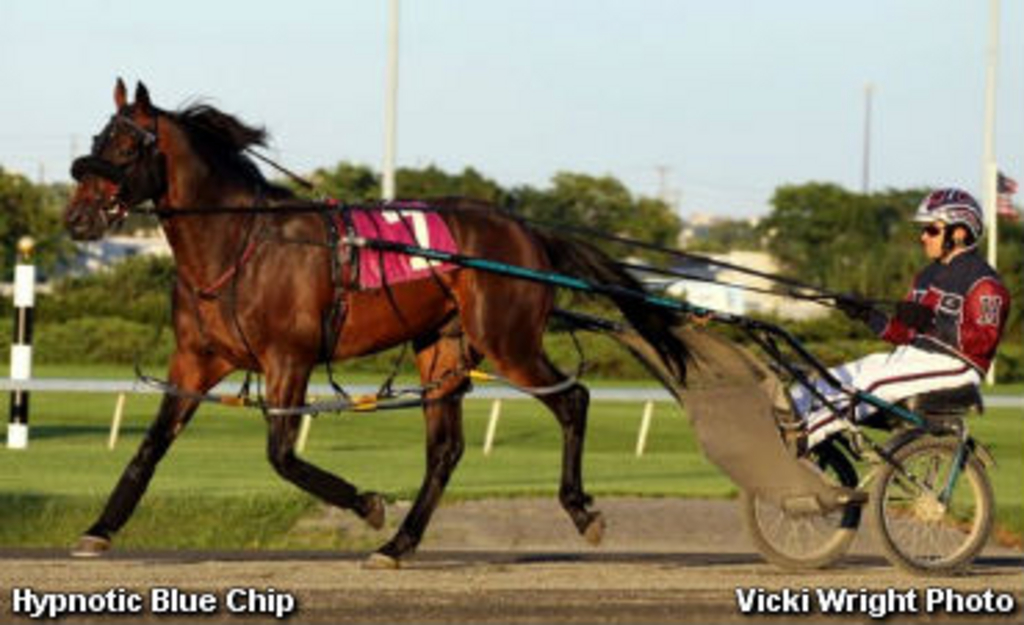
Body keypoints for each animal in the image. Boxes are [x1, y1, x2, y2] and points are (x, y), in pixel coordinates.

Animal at [61, 77, 688, 565]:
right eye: (95, 140)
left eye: (125, 146)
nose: (76, 218)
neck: (239, 244)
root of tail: (527, 231)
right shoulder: (196, 360)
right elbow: (150, 447)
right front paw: (98, 530)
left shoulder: (289, 359)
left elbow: (282, 456)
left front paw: (367, 504)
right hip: (442, 346)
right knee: (445, 450)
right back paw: (398, 546)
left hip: (507, 340)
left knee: (573, 399)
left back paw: (581, 511)